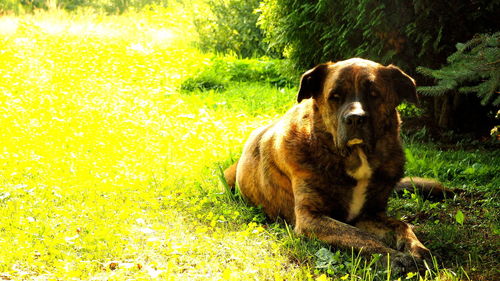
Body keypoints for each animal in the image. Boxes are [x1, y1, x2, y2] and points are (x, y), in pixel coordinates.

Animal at [223, 58, 454, 272]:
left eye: (374, 93)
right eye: (335, 96)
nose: (355, 119)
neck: (354, 158)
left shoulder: (370, 213)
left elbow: (401, 225)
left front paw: (418, 250)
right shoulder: (310, 218)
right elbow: (359, 236)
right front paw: (393, 257)